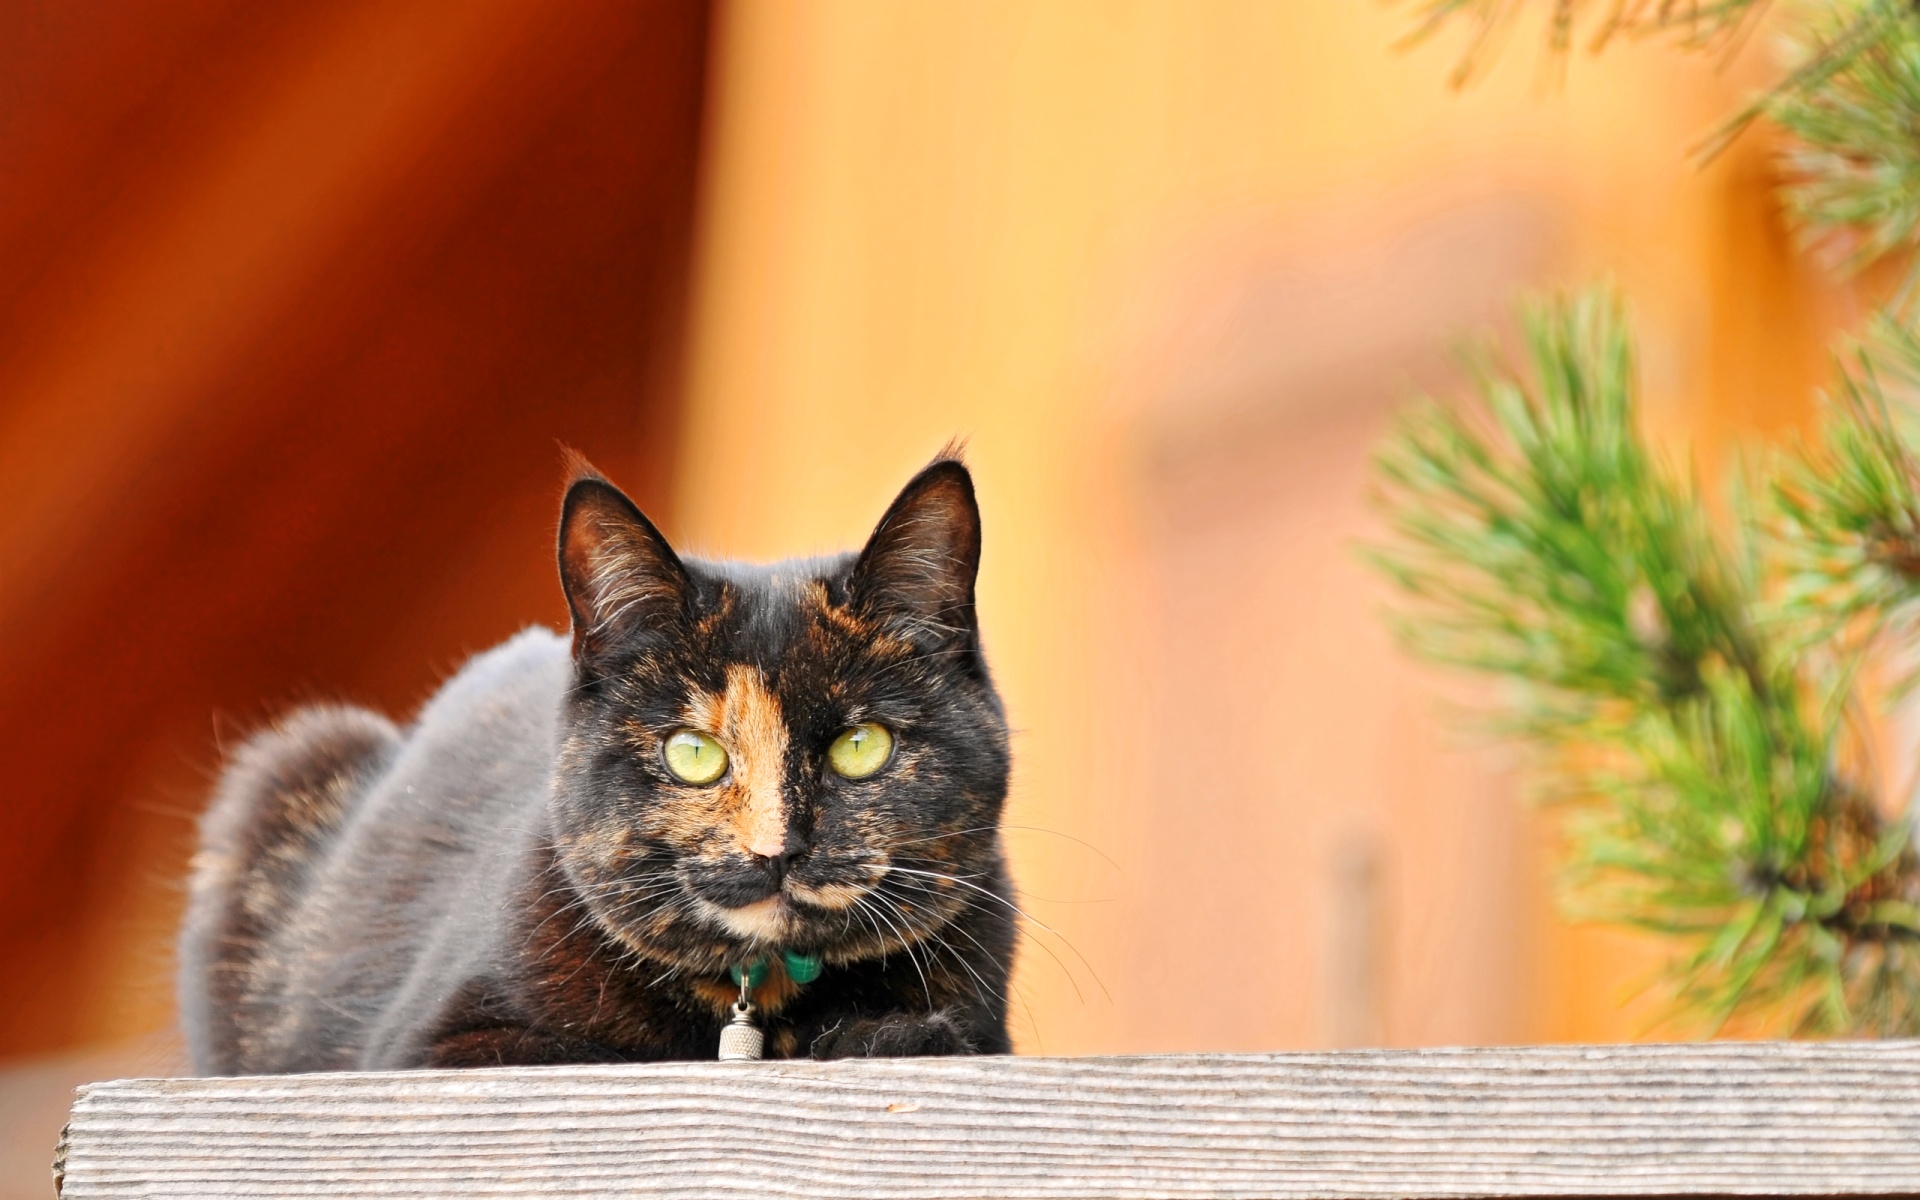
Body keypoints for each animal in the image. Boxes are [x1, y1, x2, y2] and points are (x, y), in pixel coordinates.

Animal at [176, 451, 1021, 1067]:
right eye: (693, 753)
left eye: (859, 745)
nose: (777, 849)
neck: (759, 995)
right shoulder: (435, 1048)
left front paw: (888, 1032)